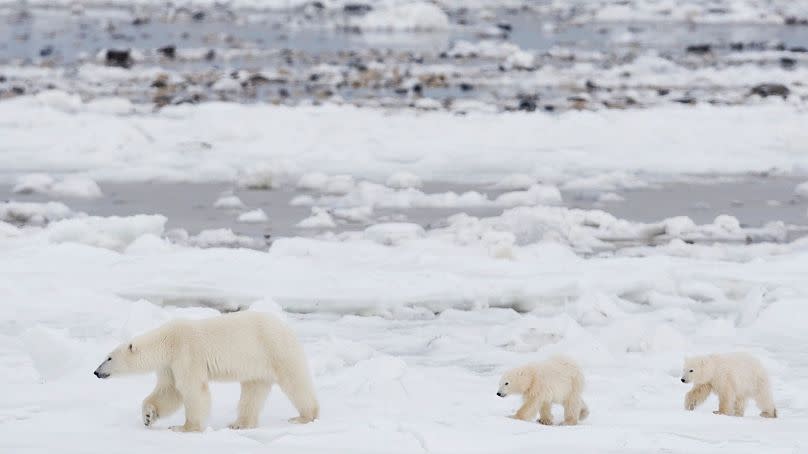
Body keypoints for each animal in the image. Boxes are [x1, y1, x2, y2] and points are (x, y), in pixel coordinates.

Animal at [94, 312, 318, 432]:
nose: (96, 372)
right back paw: (239, 424)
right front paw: (148, 415)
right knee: (253, 391)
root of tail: (287, 328)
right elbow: (169, 391)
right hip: (257, 366)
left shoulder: (186, 353)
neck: (167, 341)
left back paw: (305, 416)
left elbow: (191, 389)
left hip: (275, 350)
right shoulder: (169, 365)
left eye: (109, 358)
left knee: (295, 382)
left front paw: (184, 428)